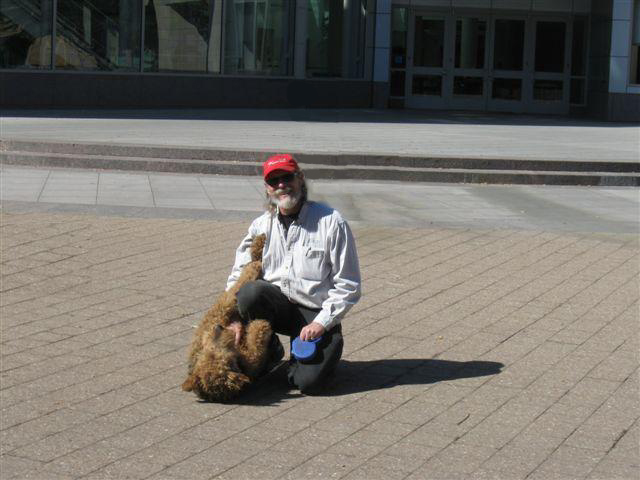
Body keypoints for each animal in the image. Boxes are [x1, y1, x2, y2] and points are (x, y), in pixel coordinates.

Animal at [180, 232, 272, 402]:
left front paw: (257, 255)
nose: (218, 328)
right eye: (217, 353)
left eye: (211, 349)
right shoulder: (249, 359)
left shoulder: (223, 307)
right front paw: (260, 326)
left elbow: (244, 277)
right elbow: (256, 345)